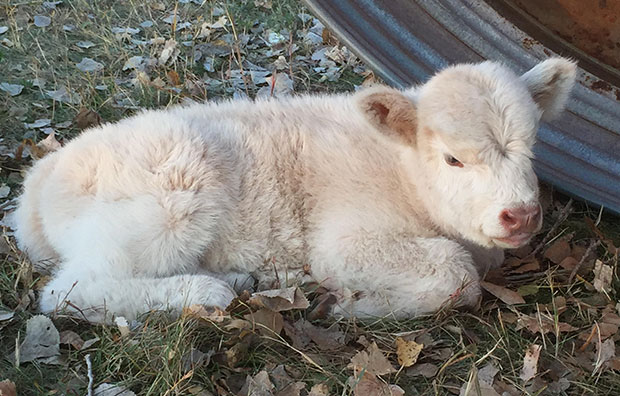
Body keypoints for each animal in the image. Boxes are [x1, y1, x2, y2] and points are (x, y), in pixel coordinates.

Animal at [13, 58, 576, 322]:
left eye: (533, 149)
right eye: (453, 159)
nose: (521, 216)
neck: (403, 174)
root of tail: (40, 183)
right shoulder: (346, 241)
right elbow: (456, 274)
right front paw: (351, 305)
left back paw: (234, 279)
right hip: (167, 201)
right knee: (70, 290)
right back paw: (204, 292)